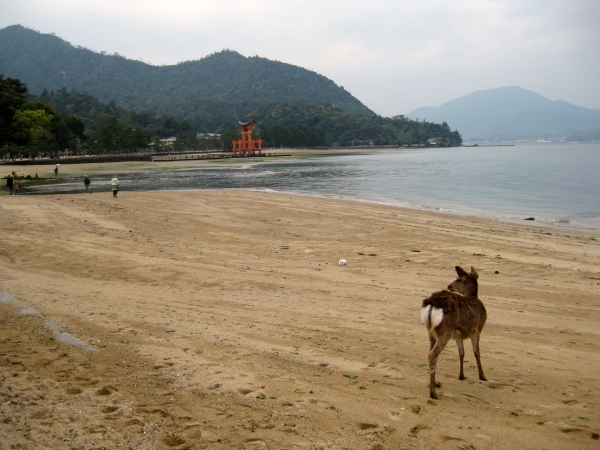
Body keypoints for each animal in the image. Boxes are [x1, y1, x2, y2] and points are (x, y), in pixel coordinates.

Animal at [422, 266, 488, 400]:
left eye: (458, 279)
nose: (449, 286)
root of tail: (432, 304)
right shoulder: (477, 329)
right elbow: (477, 352)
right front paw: (482, 376)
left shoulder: (458, 336)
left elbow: (461, 353)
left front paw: (461, 376)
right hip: (445, 331)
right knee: (433, 355)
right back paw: (433, 393)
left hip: (431, 331)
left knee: (430, 352)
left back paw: (433, 385)